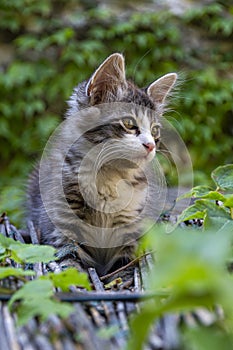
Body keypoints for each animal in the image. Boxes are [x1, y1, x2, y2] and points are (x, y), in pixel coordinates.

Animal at [26, 53, 177, 274]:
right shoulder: (61, 219)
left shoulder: (132, 223)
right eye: (129, 124)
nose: (150, 145)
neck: (108, 175)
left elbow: (123, 267)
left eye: (155, 130)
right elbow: (69, 258)